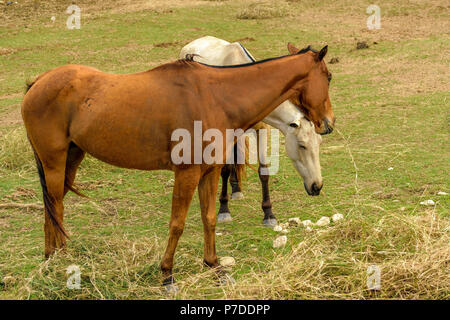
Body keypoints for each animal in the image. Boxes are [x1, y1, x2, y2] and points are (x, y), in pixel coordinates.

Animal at [180, 36, 324, 226]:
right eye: (302, 145)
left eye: (319, 144)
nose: (317, 186)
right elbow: (225, 169)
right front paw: (223, 209)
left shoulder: (261, 130)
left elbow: (263, 171)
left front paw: (268, 214)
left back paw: (236, 188)